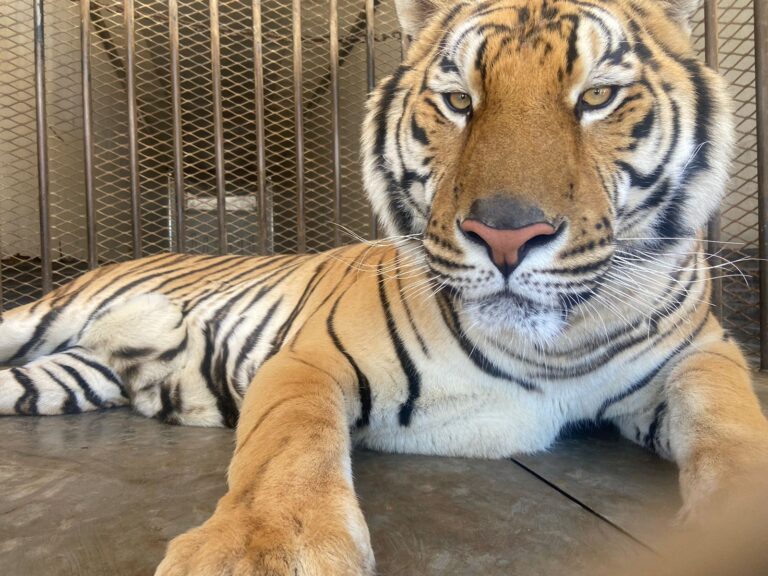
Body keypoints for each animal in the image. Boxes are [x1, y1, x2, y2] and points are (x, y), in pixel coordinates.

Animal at [2, 0, 767, 574]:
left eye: (598, 97)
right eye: (458, 102)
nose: (506, 235)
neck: (545, 349)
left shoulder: (703, 353)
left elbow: (732, 426)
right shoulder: (309, 359)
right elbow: (287, 444)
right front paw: (263, 550)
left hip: (67, 377)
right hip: (44, 316)